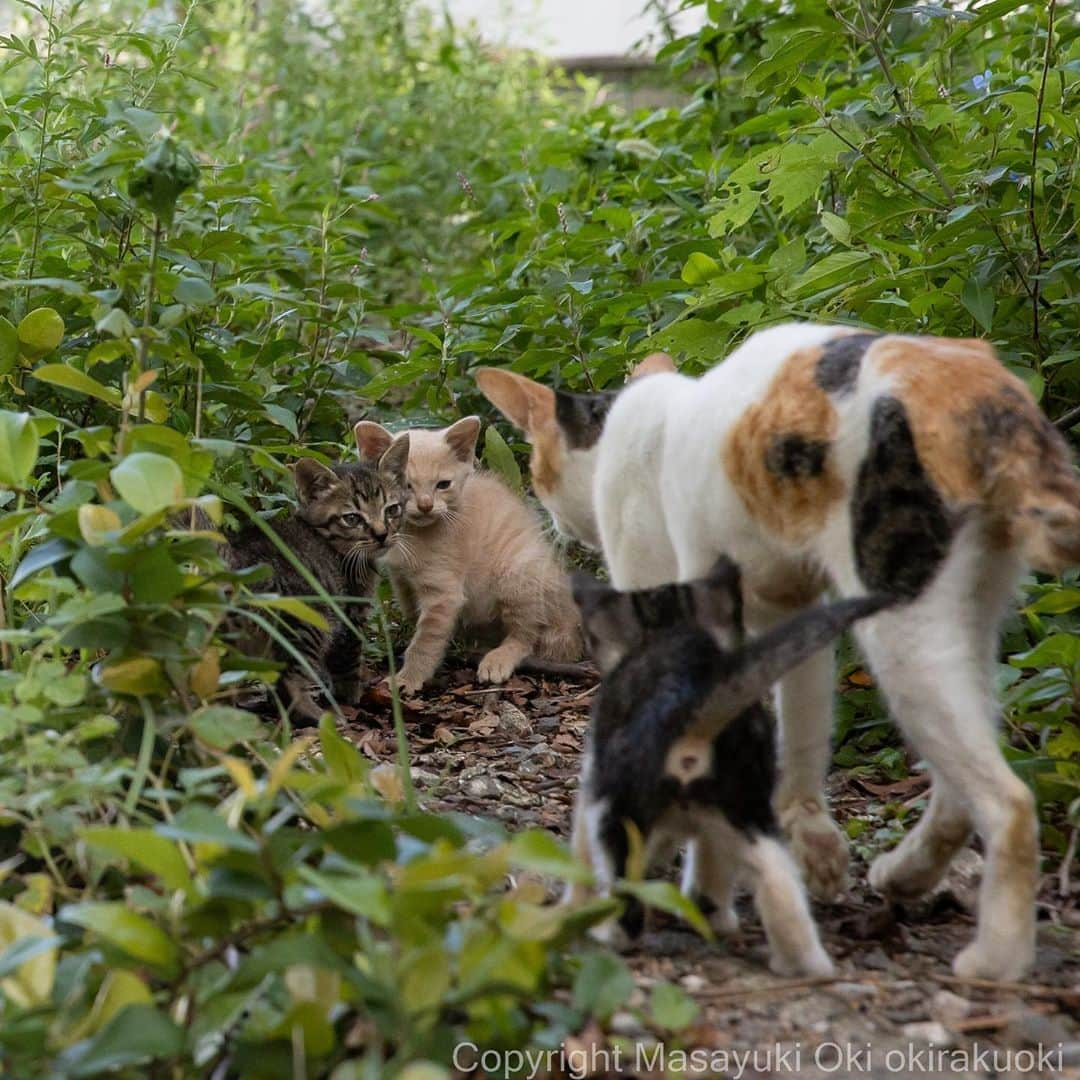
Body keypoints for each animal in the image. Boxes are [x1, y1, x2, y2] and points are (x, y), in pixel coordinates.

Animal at [217, 438, 406, 725]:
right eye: (352, 518)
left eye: (392, 510)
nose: (382, 534)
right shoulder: (349, 614)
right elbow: (348, 662)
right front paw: (352, 696)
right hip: (307, 621)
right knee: (289, 679)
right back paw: (317, 714)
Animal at [352, 412, 583, 691]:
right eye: (406, 486)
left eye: (443, 485)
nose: (426, 505)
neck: (413, 534)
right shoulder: (402, 580)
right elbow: (413, 612)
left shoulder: (445, 593)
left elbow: (425, 639)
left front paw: (409, 677)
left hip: (517, 571)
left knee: (526, 635)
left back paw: (498, 658)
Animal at [570, 561, 889, 976]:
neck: (673, 633)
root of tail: (691, 697)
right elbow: (711, 862)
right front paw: (710, 909)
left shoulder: (594, 780)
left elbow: (580, 855)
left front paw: (571, 908)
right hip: (747, 807)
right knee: (777, 879)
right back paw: (804, 964)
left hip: (618, 807)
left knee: (625, 890)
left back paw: (606, 936)